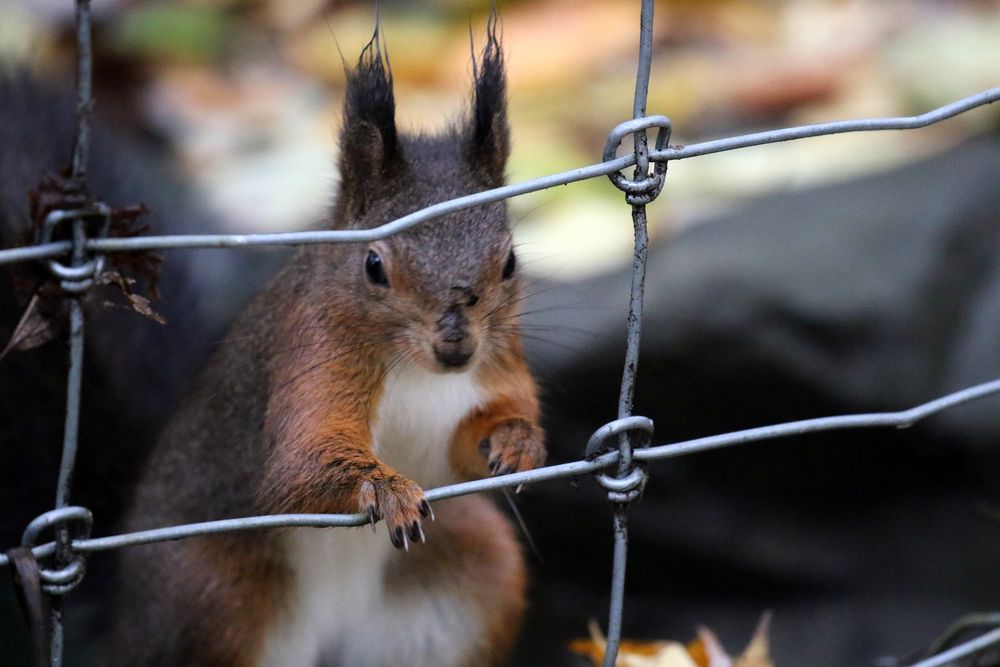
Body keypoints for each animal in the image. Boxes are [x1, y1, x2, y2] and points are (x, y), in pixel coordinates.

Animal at [109, 17, 546, 667]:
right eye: (373, 266)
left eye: (510, 262)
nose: (455, 348)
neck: (419, 373)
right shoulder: (311, 350)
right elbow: (300, 461)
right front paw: (384, 490)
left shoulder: (495, 366)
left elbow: (472, 443)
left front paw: (518, 441)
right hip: (215, 602)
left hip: (471, 576)